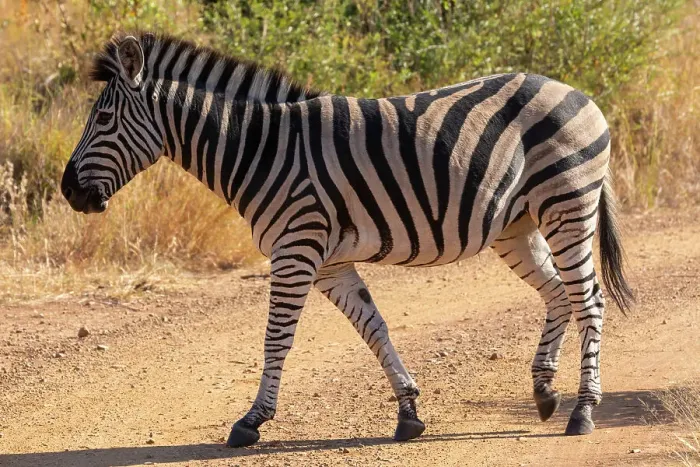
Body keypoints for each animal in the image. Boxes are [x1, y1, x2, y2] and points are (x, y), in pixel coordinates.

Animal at [61, 33, 633, 447]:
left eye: (103, 118)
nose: (68, 191)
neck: (259, 149)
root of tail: (579, 94)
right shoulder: (330, 263)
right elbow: (374, 329)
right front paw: (409, 412)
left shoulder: (296, 248)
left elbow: (276, 339)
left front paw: (252, 421)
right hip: (518, 225)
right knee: (559, 294)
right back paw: (543, 392)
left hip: (567, 204)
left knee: (590, 300)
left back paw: (583, 411)